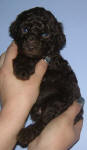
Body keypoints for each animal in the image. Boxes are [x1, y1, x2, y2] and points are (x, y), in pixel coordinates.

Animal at [9, 7, 83, 148]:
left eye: (45, 35)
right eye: (25, 29)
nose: (31, 41)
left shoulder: (52, 63)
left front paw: (24, 68)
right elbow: (24, 55)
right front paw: (22, 67)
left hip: (57, 100)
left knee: (44, 121)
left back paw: (26, 134)